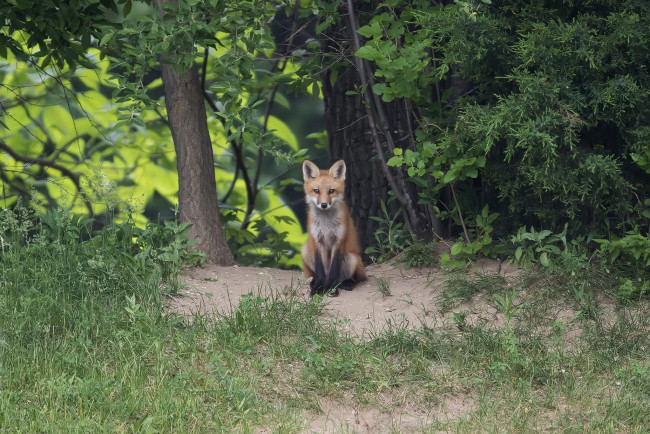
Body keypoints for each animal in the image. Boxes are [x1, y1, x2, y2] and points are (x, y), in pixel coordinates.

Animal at [300, 158, 364, 296]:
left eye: (331, 191)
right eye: (316, 191)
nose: (324, 204)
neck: (326, 224)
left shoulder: (339, 240)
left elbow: (334, 269)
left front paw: (331, 288)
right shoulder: (317, 241)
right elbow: (320, 270)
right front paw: (318, 288)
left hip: (352, 258)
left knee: (350, 278)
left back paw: (346, 283)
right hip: (305, 251)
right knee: (314, 275)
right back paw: (314, 283)